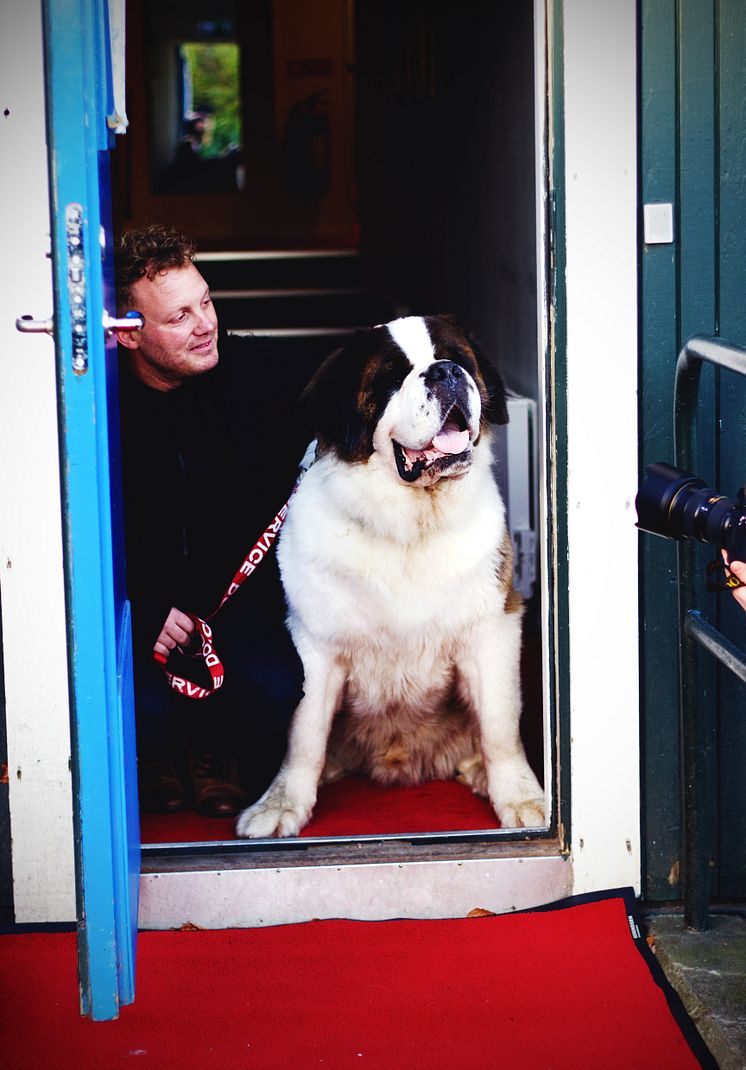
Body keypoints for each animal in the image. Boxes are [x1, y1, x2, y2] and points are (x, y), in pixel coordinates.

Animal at [235, 312, 543, 838]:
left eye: (458, 359)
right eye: (392, 378)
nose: (446, 373)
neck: (408, 525)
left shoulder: (492, 627)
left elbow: (501, 722)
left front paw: (519, 797)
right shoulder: (312, 644)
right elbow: (304, 734)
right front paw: (280, 804)